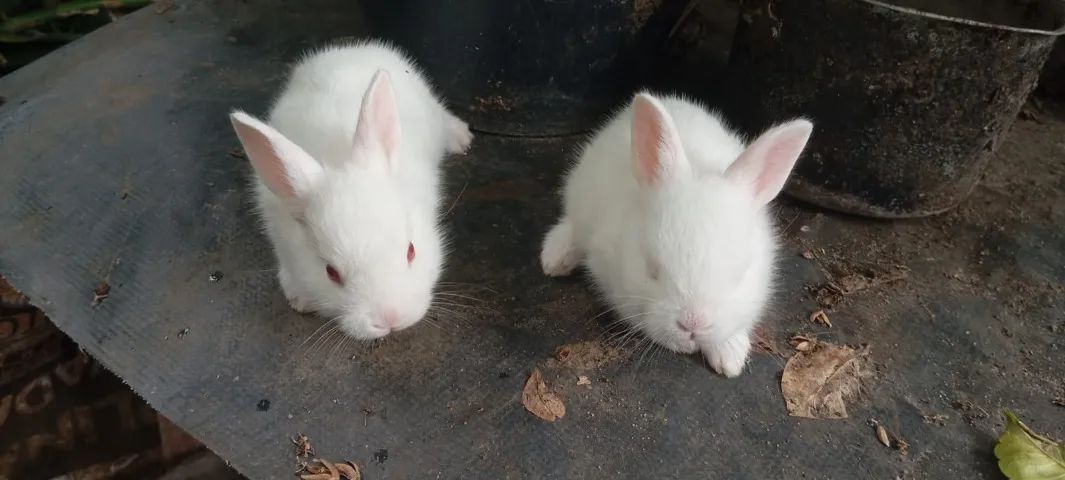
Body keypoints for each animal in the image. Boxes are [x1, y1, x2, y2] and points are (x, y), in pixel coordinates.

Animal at [229, 41, 473, 340]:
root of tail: (352, 48)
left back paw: (460, 137)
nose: (390, 319)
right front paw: (299, 298)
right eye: (331, 272)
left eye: (411, 250)